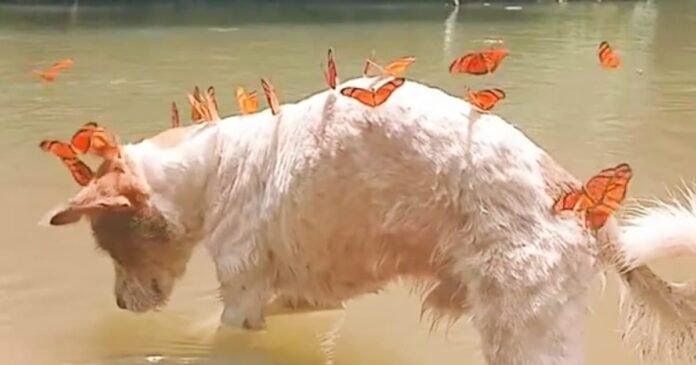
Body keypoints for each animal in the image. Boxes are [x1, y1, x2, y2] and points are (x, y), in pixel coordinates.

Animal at [42, 77, 696, 364]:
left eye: (111, 249)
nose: (121, 305)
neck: (216, 168)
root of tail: (582, 203)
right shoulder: (310, 295)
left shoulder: (243, 298)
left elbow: (211, 330)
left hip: (524, 337)